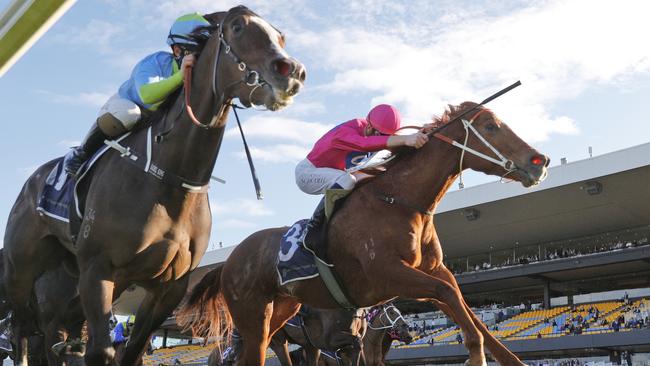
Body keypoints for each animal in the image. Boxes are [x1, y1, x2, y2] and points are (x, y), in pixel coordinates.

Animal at [3, 5, 306, 366]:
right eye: (237, 27)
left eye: (281, 36)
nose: (292, 72)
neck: (171, 180)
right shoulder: (97, 268)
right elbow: (101, 350)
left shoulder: (167, 287)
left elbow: (131, 350)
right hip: (22, 269)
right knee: (22, 331)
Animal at [177, 101, 548, 366]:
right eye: (490, 126)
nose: (539, 161)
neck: (400, 202)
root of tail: (228, 261)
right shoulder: (389, 274)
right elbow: (447, 296)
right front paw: (475, 353)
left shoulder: (433, 269)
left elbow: (463, 305)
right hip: (252, 316)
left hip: (280, 311)